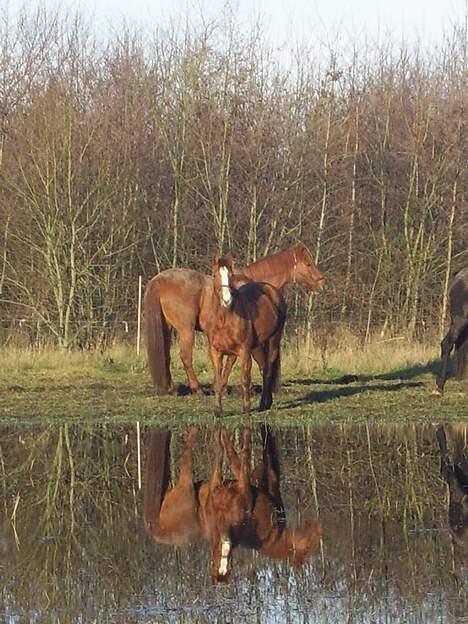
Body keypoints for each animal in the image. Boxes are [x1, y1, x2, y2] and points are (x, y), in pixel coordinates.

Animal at [143, 426, 324, 584]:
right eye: (309, 547)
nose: (318, 529)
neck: (273, 536)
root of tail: (156, 527)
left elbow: (237, 456)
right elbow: (241, 455)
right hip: (187, 484)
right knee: (188, 452)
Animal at [144, 244, 326, 394]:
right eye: (308, 264)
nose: (322, 284)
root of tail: (158, 280)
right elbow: (244, 361)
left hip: (168, 327)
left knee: (166, 355)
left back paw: (171, 388)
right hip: (186, 330)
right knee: (186, 356)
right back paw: (197, 390)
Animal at [209, 256, 288, 416]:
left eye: (231, 275)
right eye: (214, 275)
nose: (227, 300)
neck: (224, 319)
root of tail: (272, 291)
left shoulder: (243, 351)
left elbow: (245, 379)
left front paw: (246, 409)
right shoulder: (216, 352)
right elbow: (219, 380)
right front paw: (218, 411)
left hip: (273, 340)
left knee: (268, 371)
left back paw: (263, 404)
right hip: (257, 347)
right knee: (264, 368)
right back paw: (266, 403)